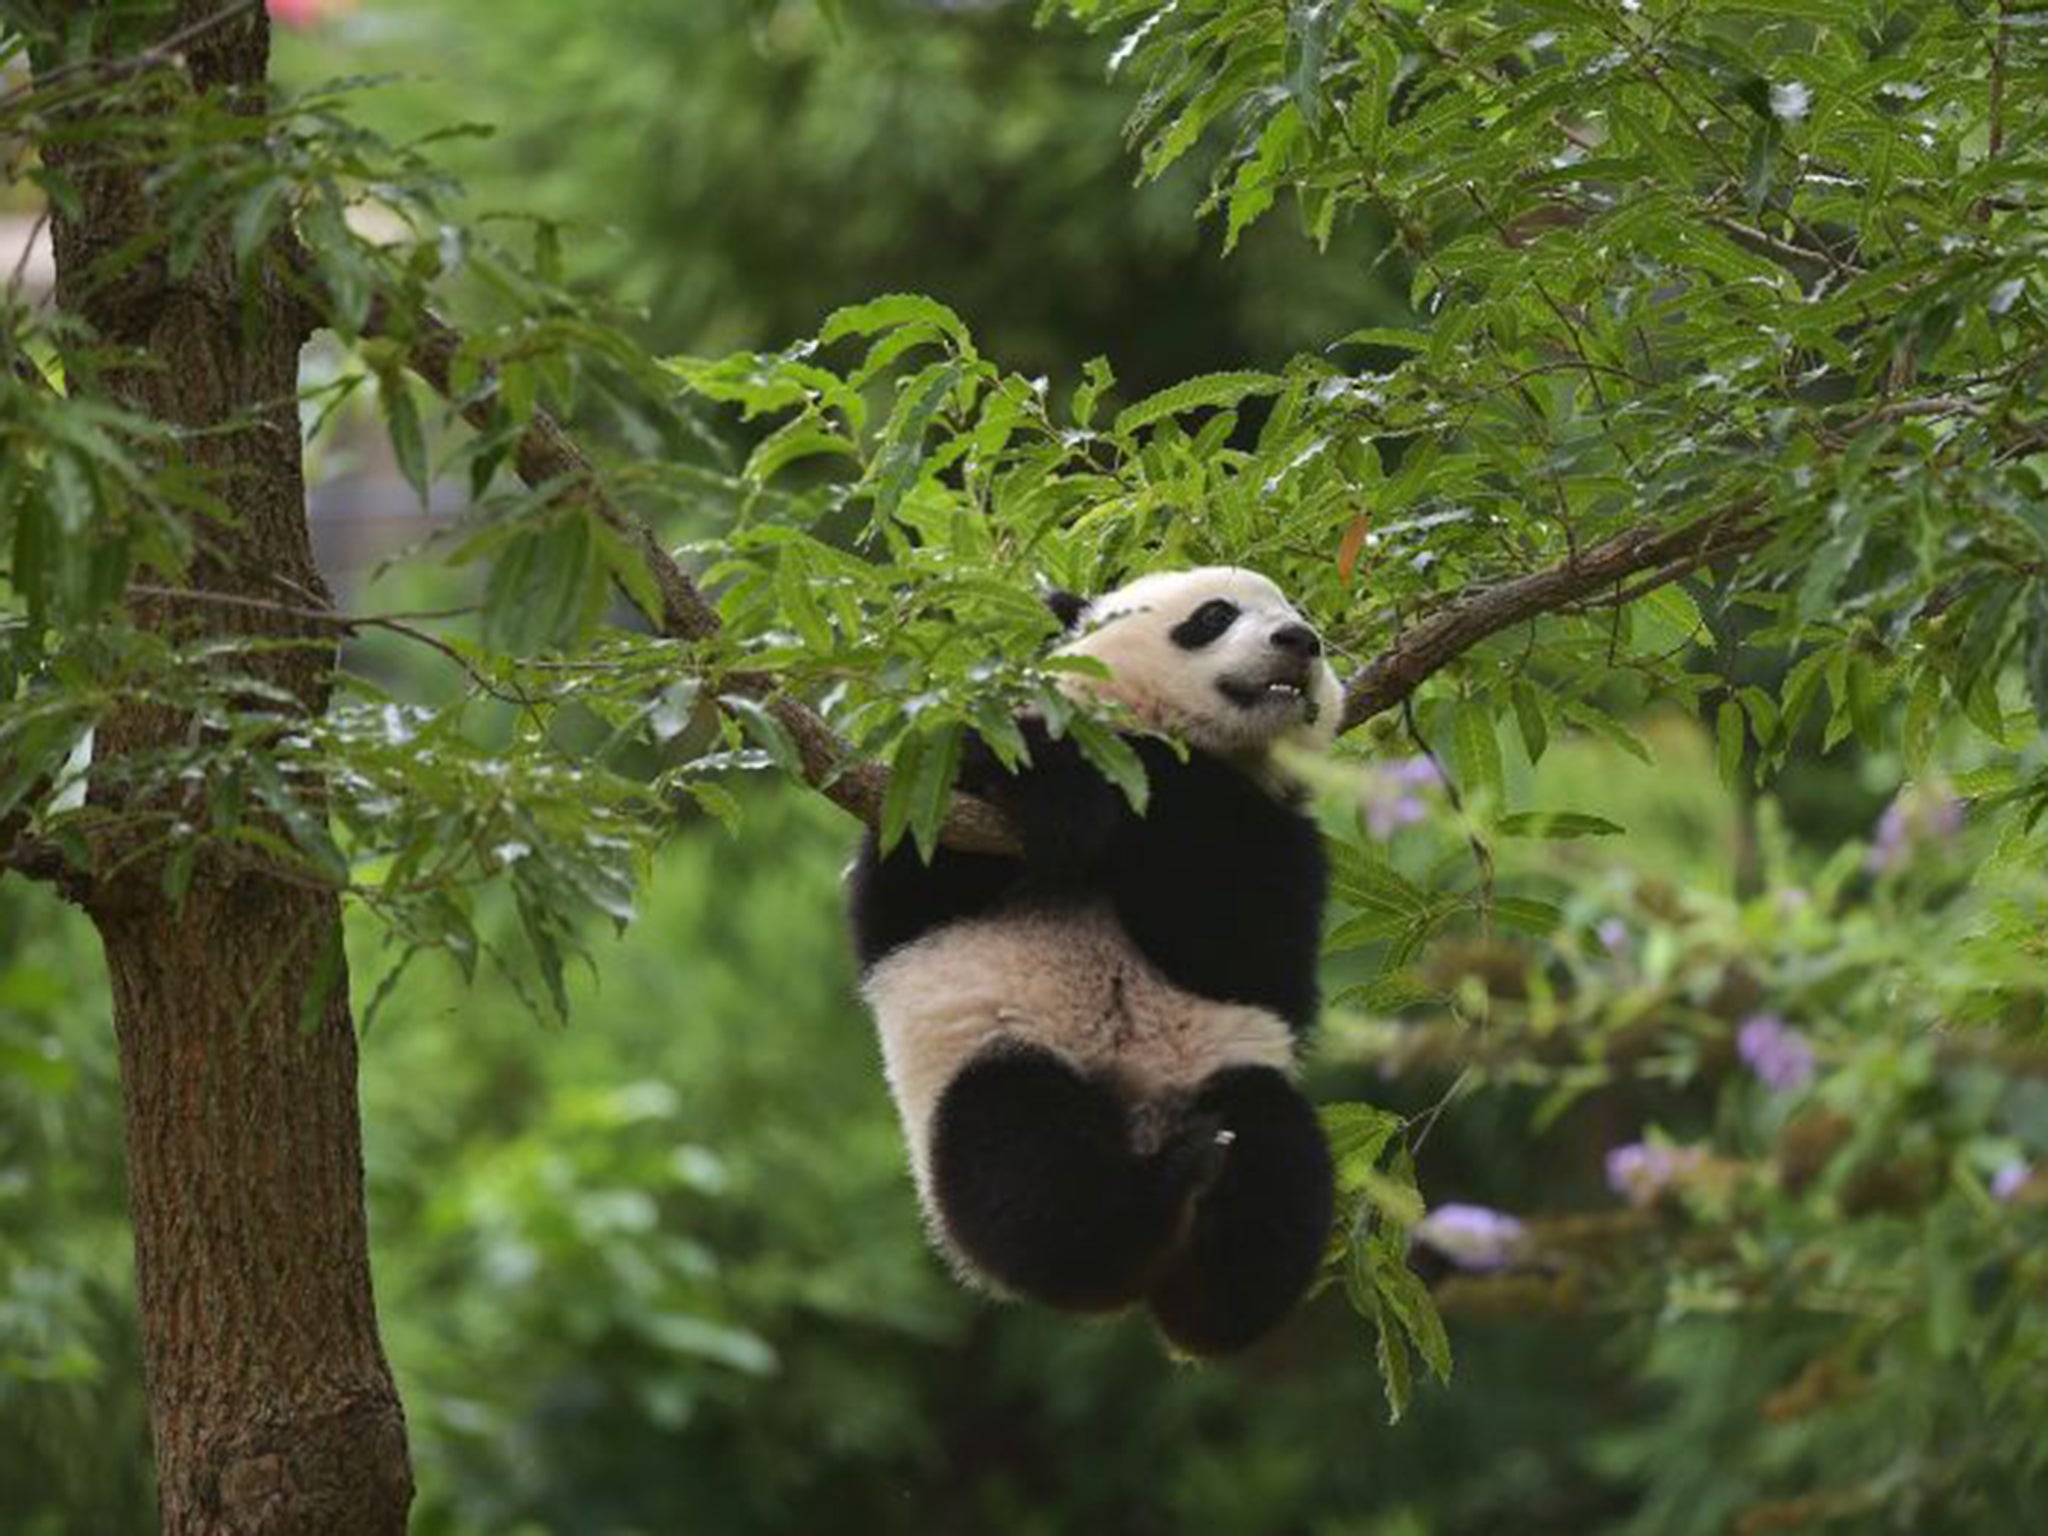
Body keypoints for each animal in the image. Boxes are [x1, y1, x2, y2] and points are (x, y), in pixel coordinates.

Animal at [839, 569, 1335, 1359]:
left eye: (1301, 613)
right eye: (1214, 615)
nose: (1299, 640)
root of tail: (1141, 1122)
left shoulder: (1281, 838)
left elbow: (1246, 946)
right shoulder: (948, 793)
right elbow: (923, 871)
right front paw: (1062, 791)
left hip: (1223, 1069)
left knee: (1279, 1153)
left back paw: (1214, 1289)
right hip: (994, 1054)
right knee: (1021, 1160)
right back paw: (1152, 1204)